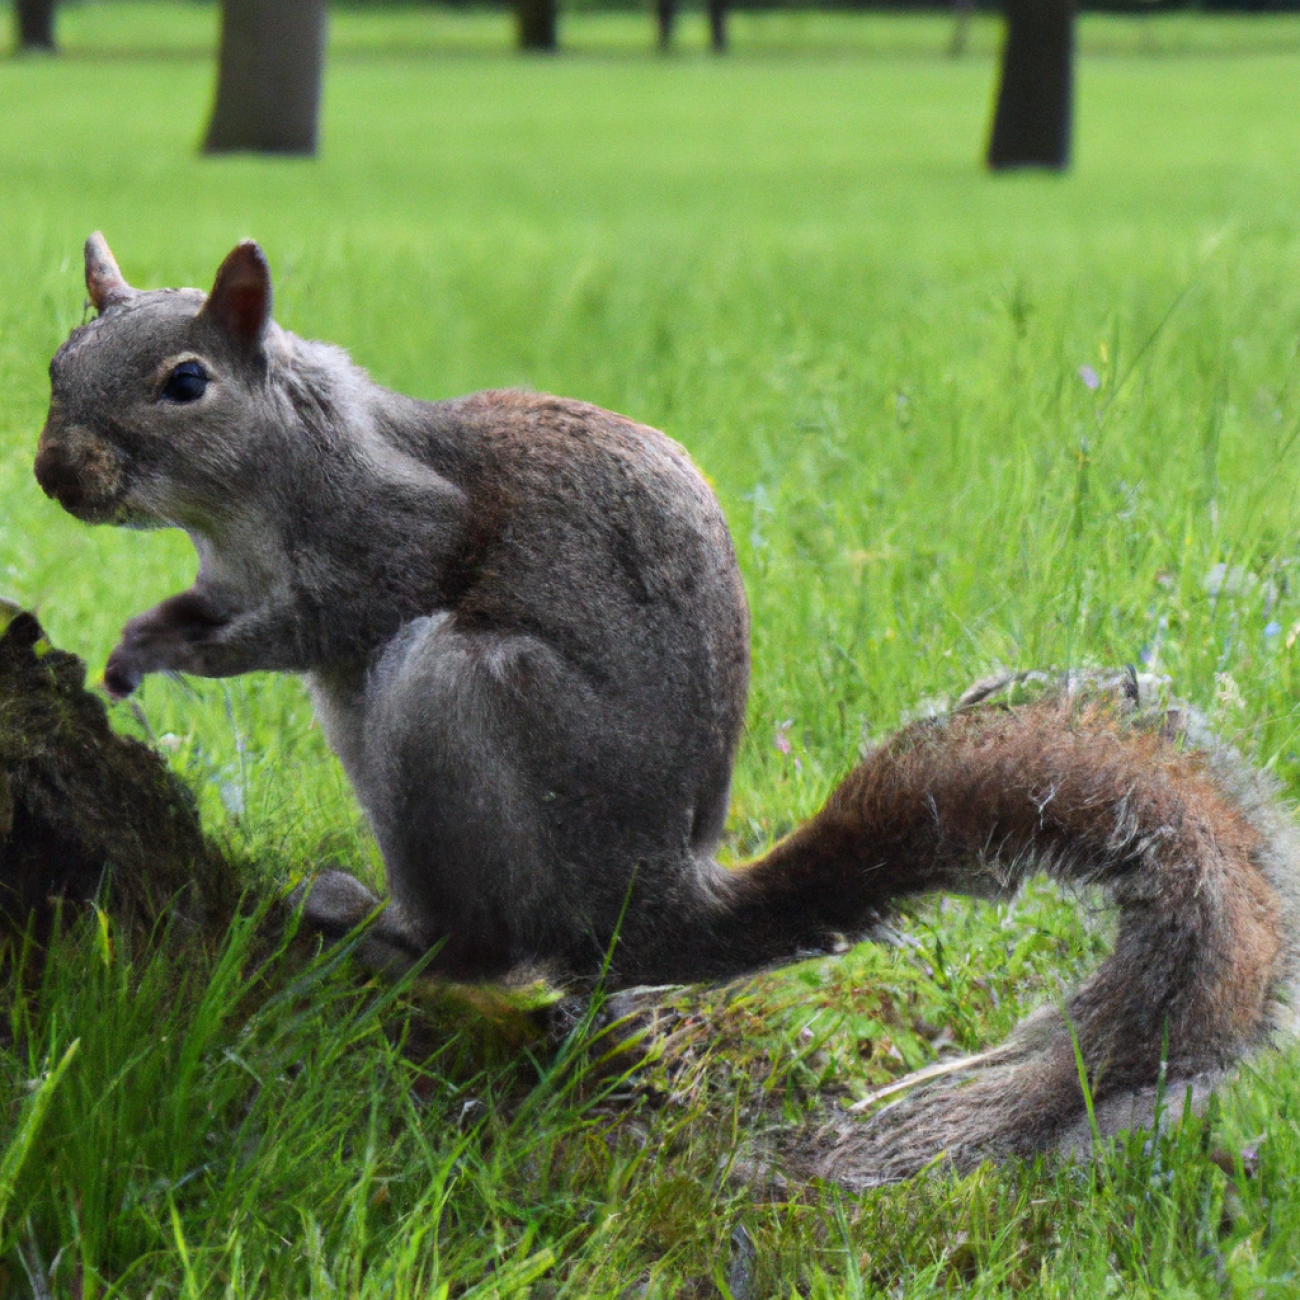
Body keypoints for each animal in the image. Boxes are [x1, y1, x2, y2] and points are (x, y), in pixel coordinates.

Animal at [30, 236, 1300, 1190]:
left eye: (184, 382)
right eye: (57, 360)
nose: (55, 473)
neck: (248, 490)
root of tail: (644, 901)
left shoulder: (393, 535)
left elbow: (323, 616)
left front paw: (197, 655)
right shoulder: (228, 567)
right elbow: (205, 605)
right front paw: (136, 645)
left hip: (459, 706)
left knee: (485, 942)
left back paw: (377, 928)